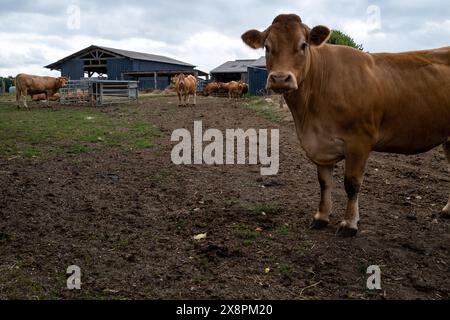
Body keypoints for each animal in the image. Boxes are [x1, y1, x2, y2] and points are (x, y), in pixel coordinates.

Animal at [243, 13, 450, 238]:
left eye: (303, 45)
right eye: (267, 46)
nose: (280, 79)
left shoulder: (359, 141)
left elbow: (351, 184)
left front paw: (349, 224)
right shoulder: (320, 145)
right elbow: (324, 183)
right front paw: (321, 217)